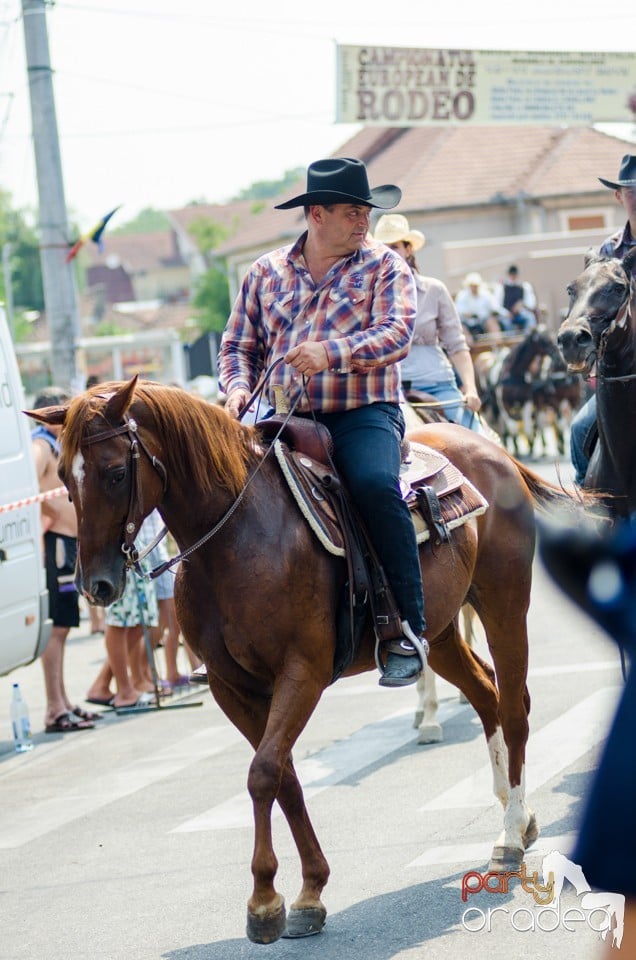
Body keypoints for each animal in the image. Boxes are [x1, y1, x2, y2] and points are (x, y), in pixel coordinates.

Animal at [28, 376, 588, 944]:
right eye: (64, 479)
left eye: (116, 472)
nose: (96, 585)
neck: (234, 539)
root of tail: (487, 448)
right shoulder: (233, 688)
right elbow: (284, 777)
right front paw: (308, 891)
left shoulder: (302, 672)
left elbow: (262, 773)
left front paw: (264, 900)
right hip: (441, 628)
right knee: (484, 694)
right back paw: (516, 817)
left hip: (503, 603)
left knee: (513, 708)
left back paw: (512, 834)